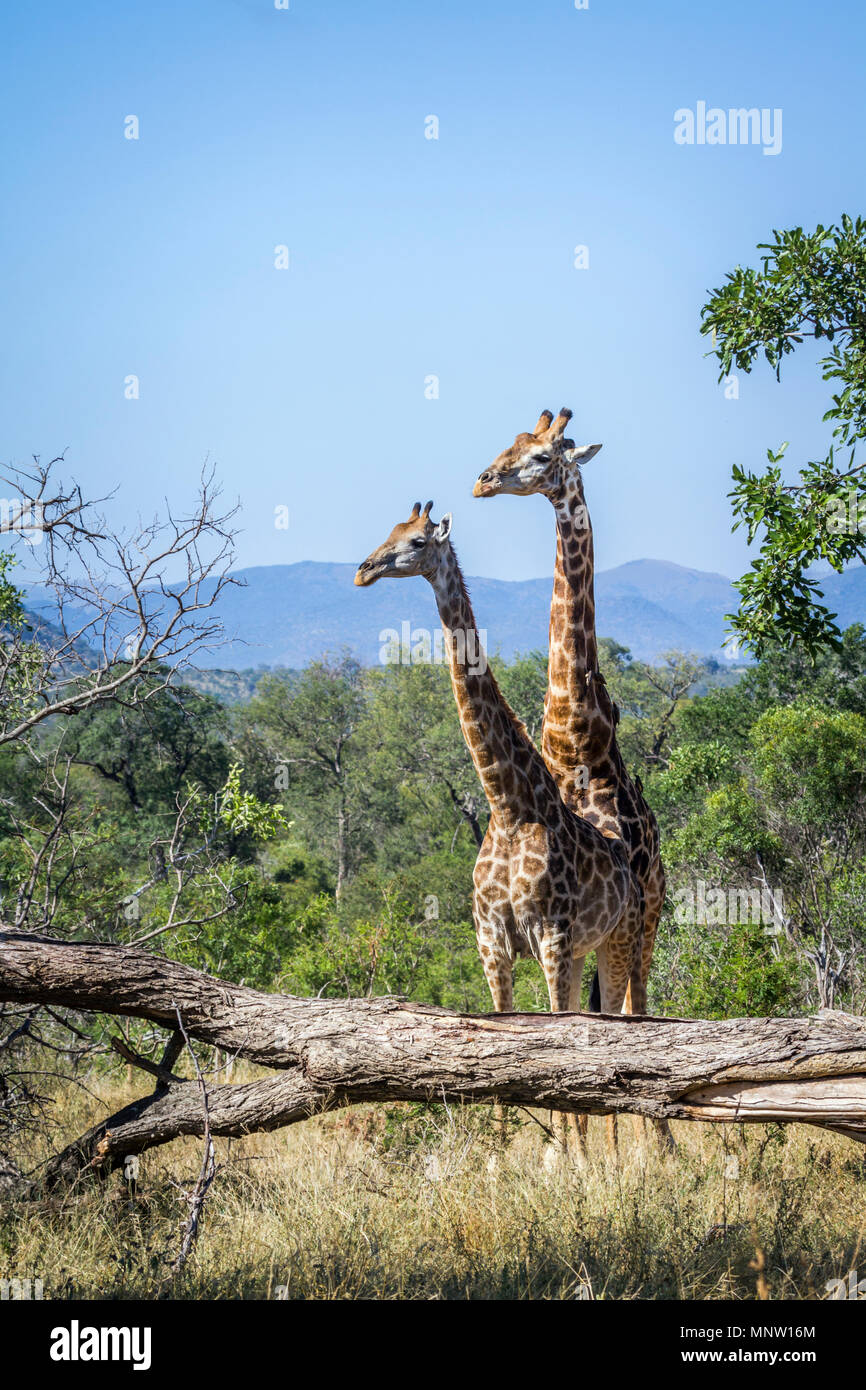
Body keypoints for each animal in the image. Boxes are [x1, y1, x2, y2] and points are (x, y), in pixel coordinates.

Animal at [353, 500, 644, 1150]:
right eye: (386, 532)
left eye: (415, 542)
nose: (362, 570)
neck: (509, 806)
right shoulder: (493, 941)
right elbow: (502, 1052)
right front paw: (505, 1156)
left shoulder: (552, 937)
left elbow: (562, 1049)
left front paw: (566, 1160)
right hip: (587, 949)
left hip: (621, 937)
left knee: (617, 1022)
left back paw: (618, 1155)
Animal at [478, 408, 675, 1150]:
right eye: (510, 443)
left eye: (540, 456)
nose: (484, 480)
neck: (575, 736)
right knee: (609, 1014)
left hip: (646, 919)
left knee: (637, 1010)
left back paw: (652, 1146)